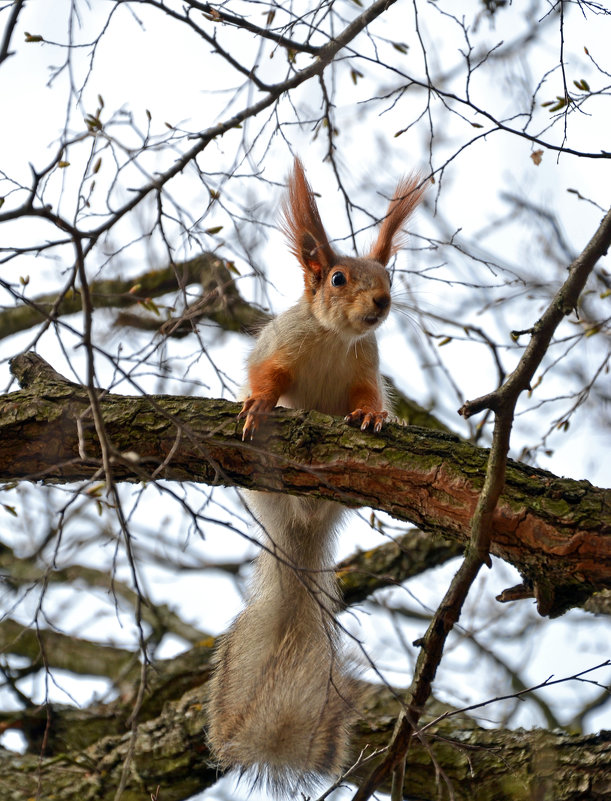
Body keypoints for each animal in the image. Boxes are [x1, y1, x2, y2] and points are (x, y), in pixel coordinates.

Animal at [207, 156, 426, 792]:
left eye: (387, 274)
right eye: (337, 278)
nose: (382, 303)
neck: (334, 339)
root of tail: (301, 524)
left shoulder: (365, 368)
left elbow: (367, 397)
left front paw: (374, 416)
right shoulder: (281, 349)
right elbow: (269, 380)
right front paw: (259, 406)